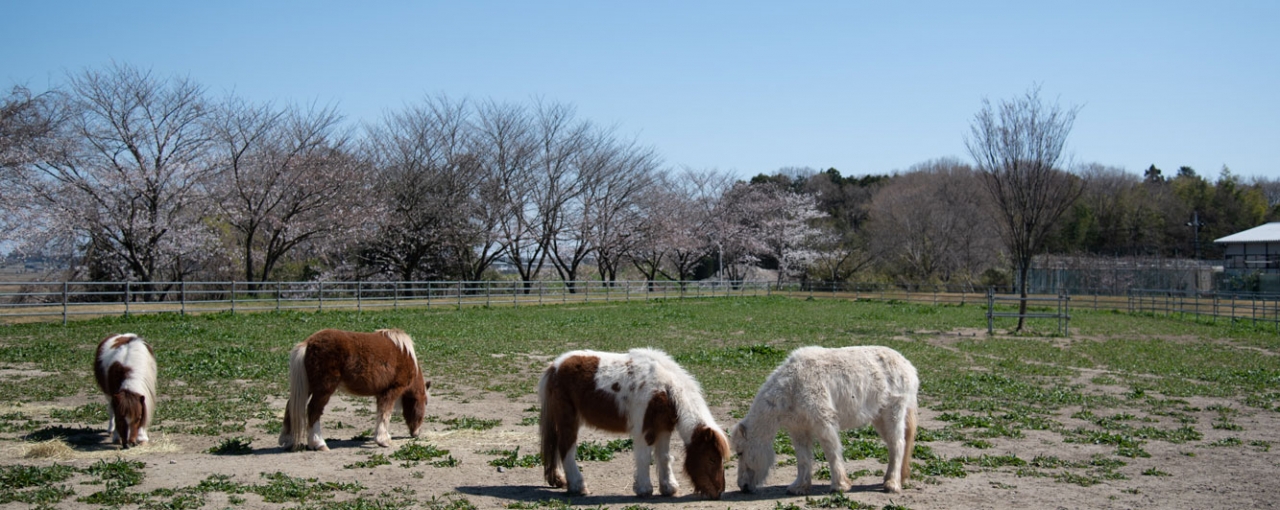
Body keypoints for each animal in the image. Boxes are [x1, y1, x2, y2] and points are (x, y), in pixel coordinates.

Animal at [277, 326, 427, 451]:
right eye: (425, 403)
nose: (416, 433)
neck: (405, 354)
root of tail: (308, 343)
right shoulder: (392, 390)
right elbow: (385, 413)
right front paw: (383, 440)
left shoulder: (381, 394)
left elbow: (381, 413)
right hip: (323, 389)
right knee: (314, 410)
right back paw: (319, 443)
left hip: (309, 387)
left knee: (291, 406)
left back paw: (287, 441)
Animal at [535, 345, 732, 497]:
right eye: (712, 459)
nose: (719, 492)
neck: (665, 389)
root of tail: (554, 367)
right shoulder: (645, 430)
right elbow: (644, 457)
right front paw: (644, 489)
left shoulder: (664, 428)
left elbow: (664, 457)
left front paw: (668, 488)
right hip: (568, 419)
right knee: (566, 449)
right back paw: (578, 486)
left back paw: (559, 480)